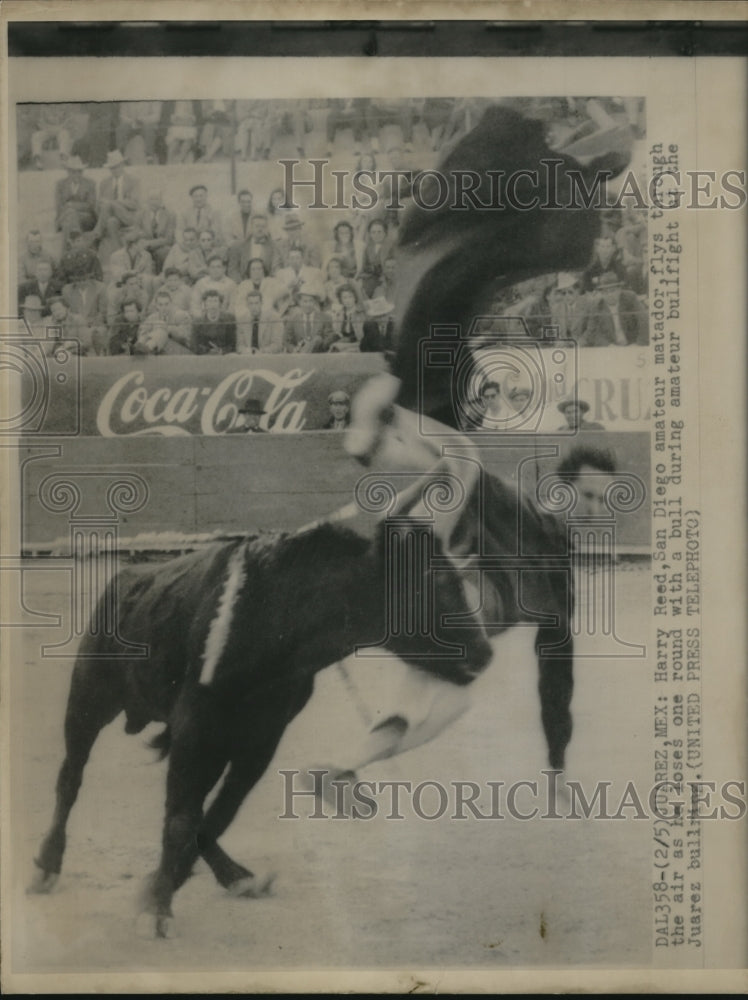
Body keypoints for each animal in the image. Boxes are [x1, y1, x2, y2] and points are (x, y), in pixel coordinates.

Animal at [30, 472, 572, 932]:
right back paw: (45, 867)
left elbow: (218, 810)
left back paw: (232, 875)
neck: (276, 619)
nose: (483, 653)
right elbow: (182, 815)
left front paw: (169, 886)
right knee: (69, 780)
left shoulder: (260, 736)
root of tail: (127, 579)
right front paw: (158, 904)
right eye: (434, 583)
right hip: (87, 700)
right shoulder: (195, 727)